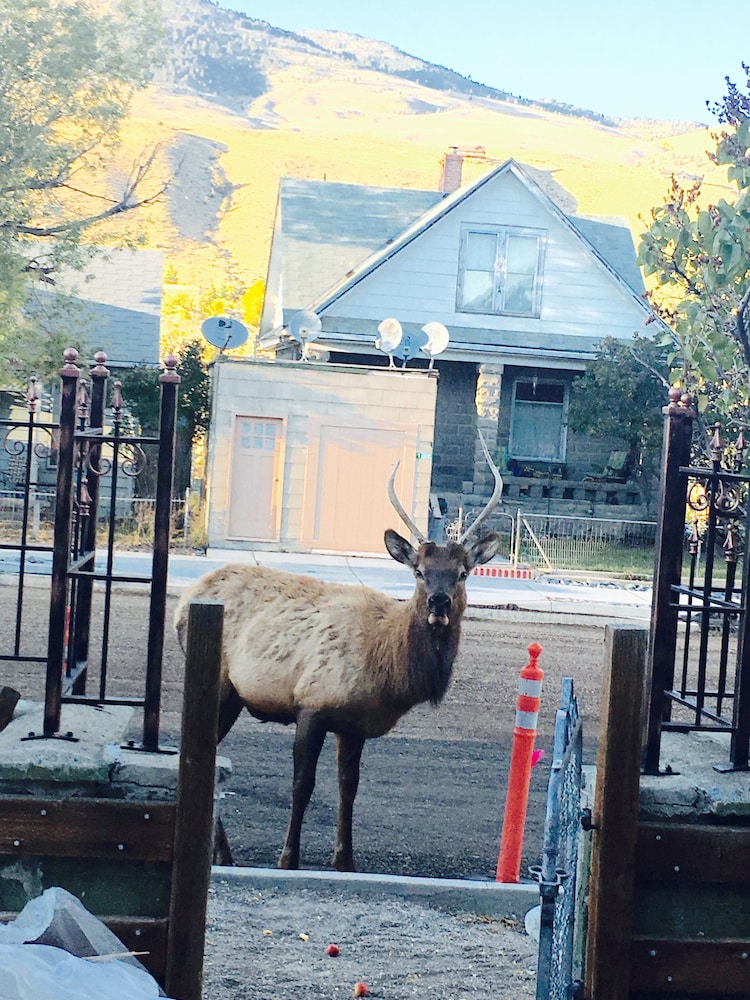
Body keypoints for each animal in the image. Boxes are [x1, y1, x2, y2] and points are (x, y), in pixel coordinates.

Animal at [174, 435, 503, 872]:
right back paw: (222, 853)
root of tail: (184, 601)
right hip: (224, 687)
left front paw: (344, 859)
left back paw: (224, 854)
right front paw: (288, 858)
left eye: (463, 572)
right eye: (418, 571)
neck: (387, 667)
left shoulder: (354, 724)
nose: (438, 602)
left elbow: (349, 787)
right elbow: (303, 785)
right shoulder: (312, 704)